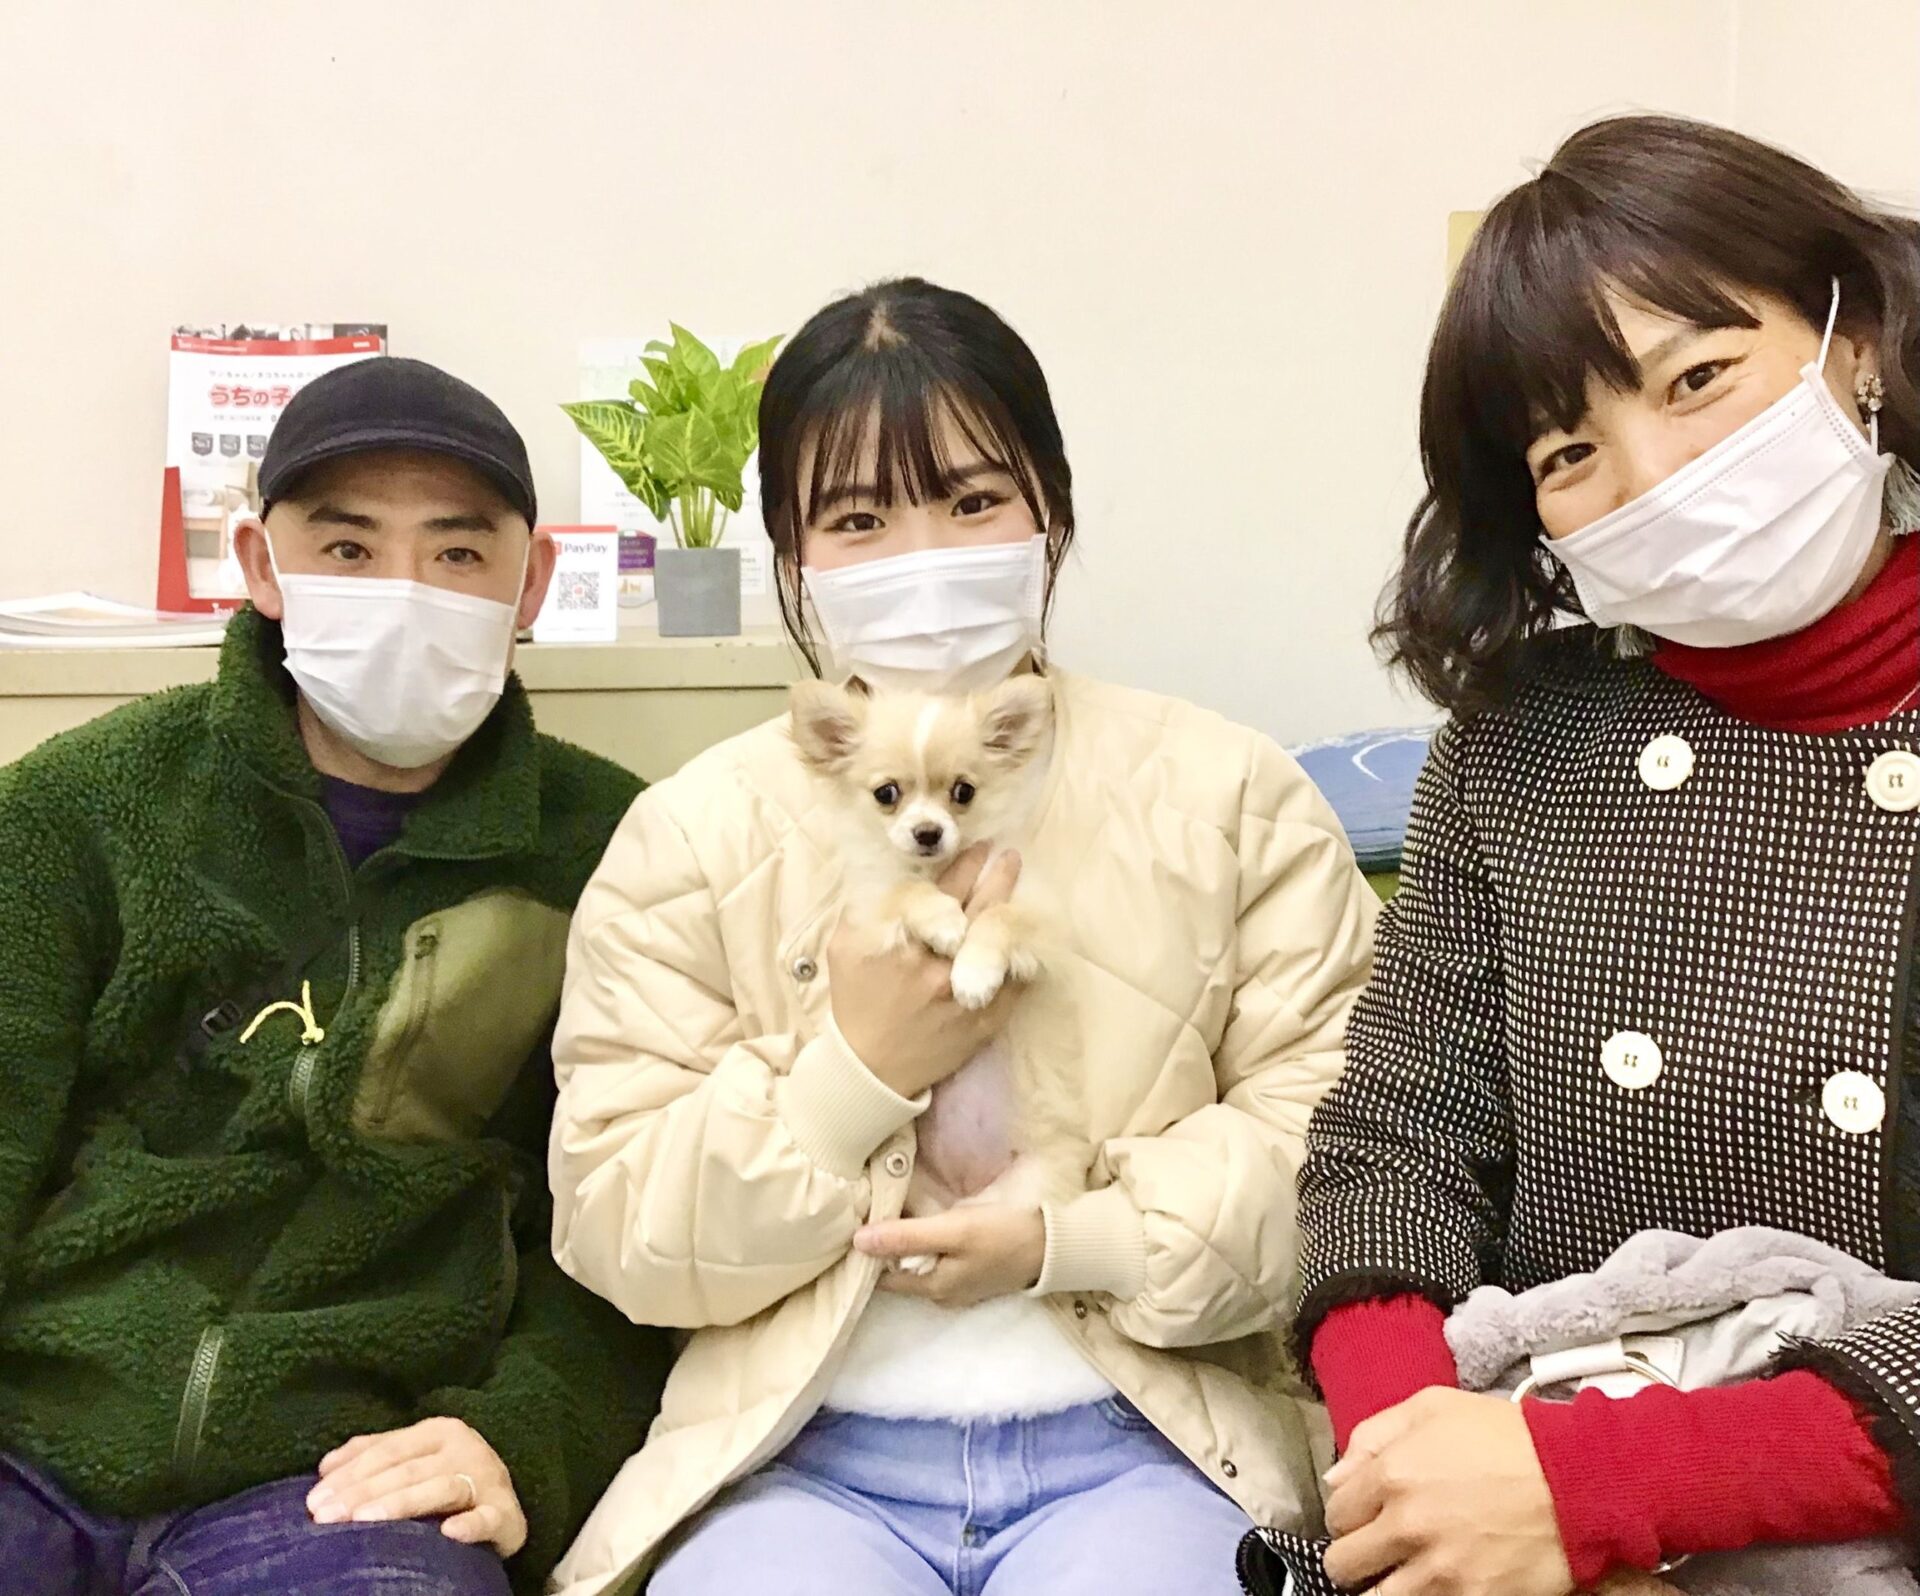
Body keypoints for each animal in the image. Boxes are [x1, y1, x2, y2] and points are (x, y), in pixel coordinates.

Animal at [789, 674, 1090, 1272]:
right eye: (886, 794)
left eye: (964, 792)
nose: (928, 832)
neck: (939, 869)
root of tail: (962, 1191)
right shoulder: (873, 907)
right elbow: (909, 892)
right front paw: (946, 923)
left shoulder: (1043, 922)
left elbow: (998, 917)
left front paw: (973, 973)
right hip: (915, 1181)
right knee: (929, 1213)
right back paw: (920, 1253)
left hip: (1022, 1188)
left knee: (975, 1217)